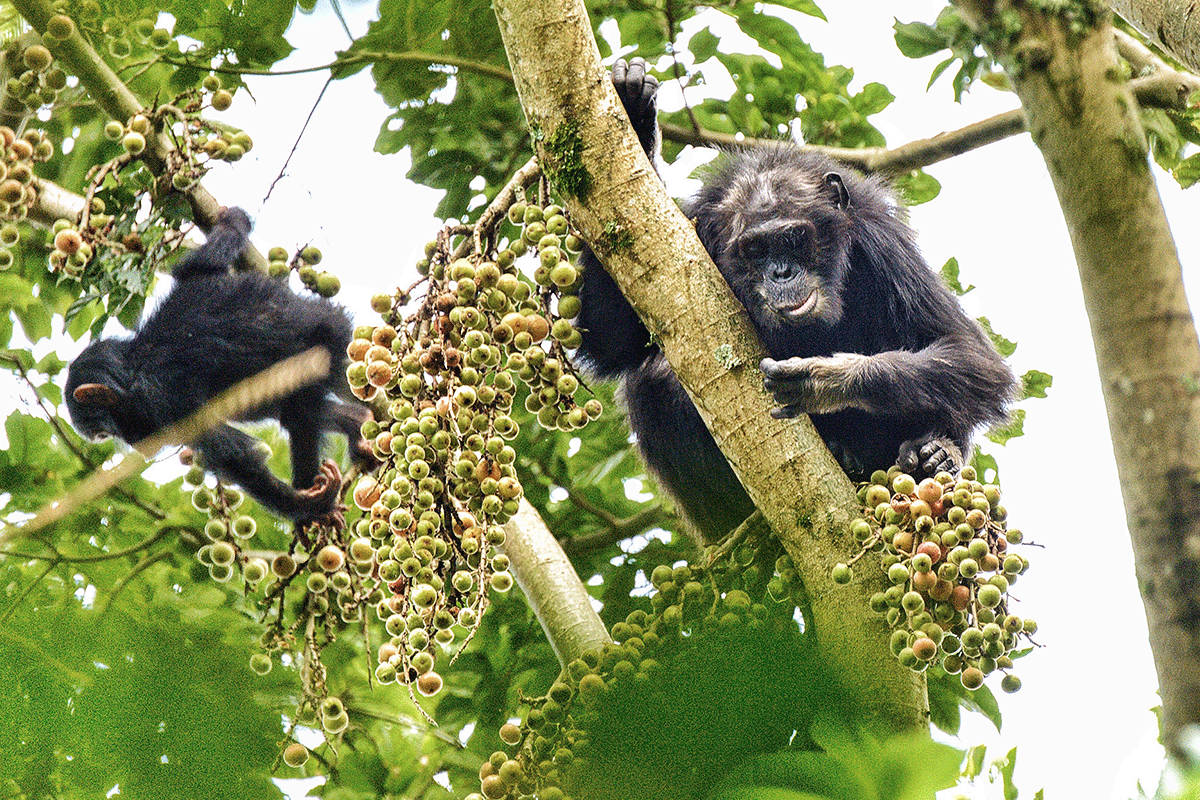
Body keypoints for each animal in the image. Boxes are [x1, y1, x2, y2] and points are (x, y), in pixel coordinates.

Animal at [66, 206, 374, 522]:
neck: (133, 364)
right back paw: (358, 423)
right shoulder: (195, 281)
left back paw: (309, 486)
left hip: (321, 346)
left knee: (297, 415)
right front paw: (233, 221)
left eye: (105, 434)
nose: (138, 446)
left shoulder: (163, 398)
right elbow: (202, 265)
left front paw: (310, 504)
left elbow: (237, 456)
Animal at [576, 57, 1017, 544]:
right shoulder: (689, 242)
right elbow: (613, 340)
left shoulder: (883, 242)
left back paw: (935, 453)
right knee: (650, 380)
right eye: (755, 250)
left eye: (793, 238)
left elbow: (968, 352)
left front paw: (830, 379)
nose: (781, 272)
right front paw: (635, 119)